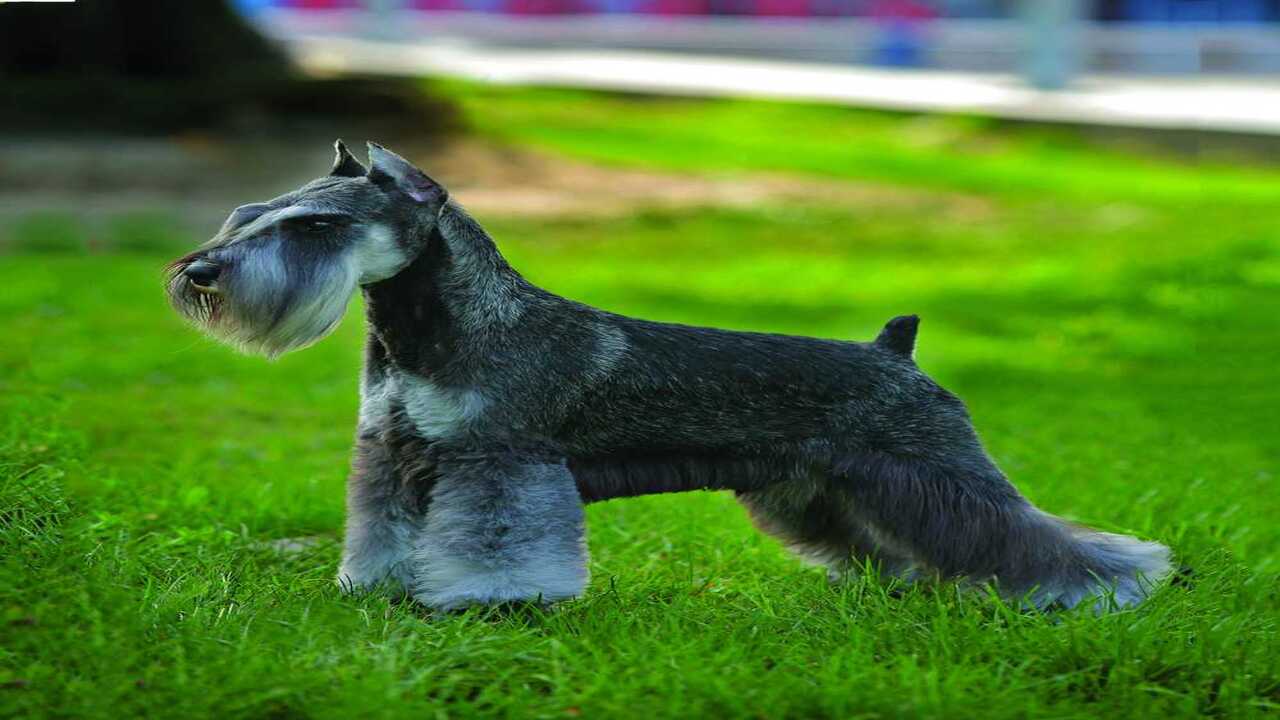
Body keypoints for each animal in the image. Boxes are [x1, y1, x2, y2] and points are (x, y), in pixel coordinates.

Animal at [167, 141, 1172, 609]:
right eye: (250, 211)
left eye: (319, 226)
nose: (200, 274)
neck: (429, 329)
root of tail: (897, 350)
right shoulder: (393, 456)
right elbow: (381, 533)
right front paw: (372, 588)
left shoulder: (500, 463)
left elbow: (496, 542)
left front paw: (492, 602)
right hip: (822, 490)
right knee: (892, 544)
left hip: (935, 470)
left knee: (1029, 535)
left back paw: (1106, 589)